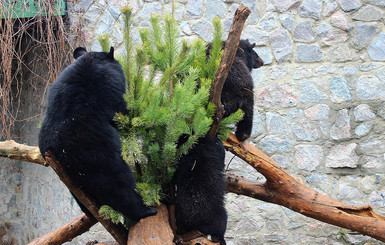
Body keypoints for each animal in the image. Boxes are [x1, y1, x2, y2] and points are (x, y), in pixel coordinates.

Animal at [39, 47, 157, 221]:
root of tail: (59, 152)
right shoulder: (109, 87)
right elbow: (122, 111)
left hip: (71, 177)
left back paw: (91, 211)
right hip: (98, 154)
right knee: (118, 183)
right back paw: (145, 210)